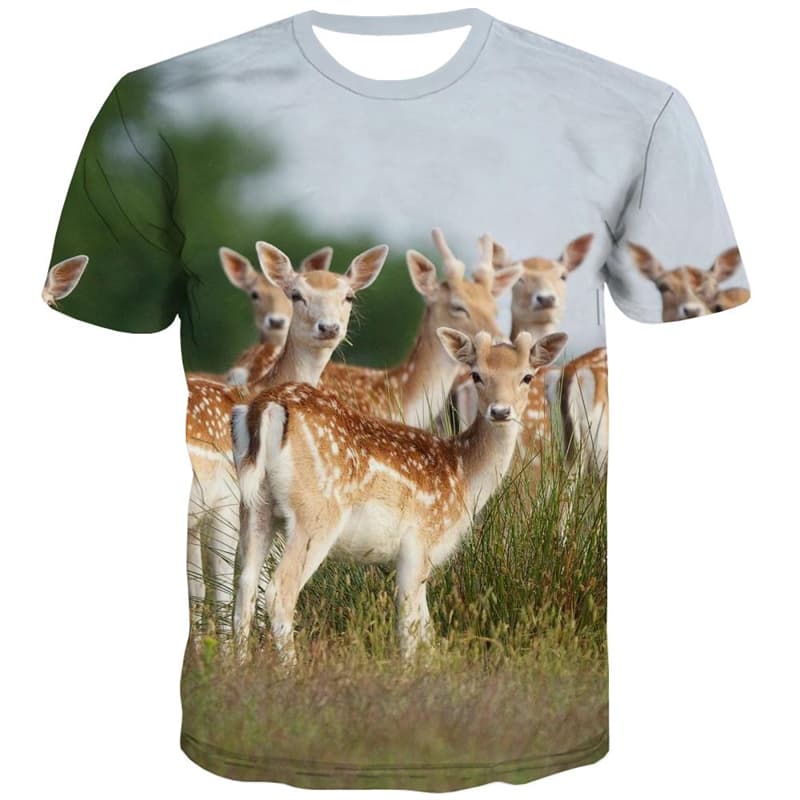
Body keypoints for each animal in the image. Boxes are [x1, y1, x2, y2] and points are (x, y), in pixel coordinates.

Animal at [186, 241, 388, 630]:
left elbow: (201, 589)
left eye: (349, 295)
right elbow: (221, 586)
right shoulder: (228, 499)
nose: (328, 327)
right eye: (297, 294)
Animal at [231, 328, 568, 663]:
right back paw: (291, 667)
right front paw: (408, 669)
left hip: (256, 505)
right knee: (280, 590)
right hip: (316, 513)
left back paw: (239, 664)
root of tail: (265, 406)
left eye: (527, 376)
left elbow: (426, 628)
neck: (464, 477)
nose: (500, 411)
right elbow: (409, 624)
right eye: (476, 374)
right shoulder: (420, 542)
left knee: (245, 587)